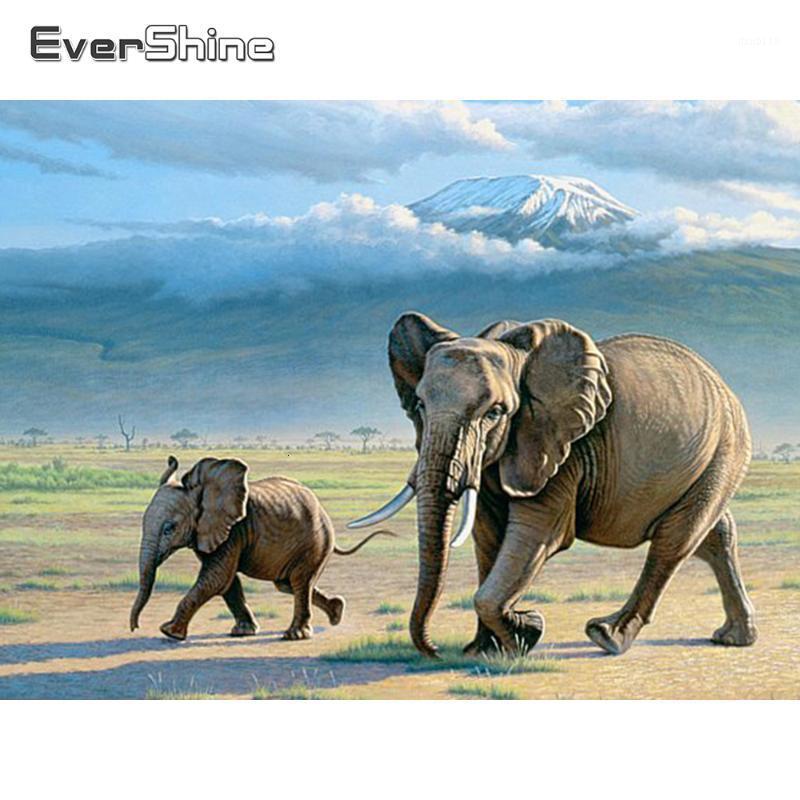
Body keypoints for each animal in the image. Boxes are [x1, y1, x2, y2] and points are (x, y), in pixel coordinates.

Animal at [130, 456, 390, 642]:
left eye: (169, 528)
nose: (135, 627)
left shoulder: (233, 529)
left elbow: (217, 577)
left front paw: (168, 632)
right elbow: (226, 581)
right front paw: (243, 632)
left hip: (315, 542)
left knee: (300, 582)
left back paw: (295, 636)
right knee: (287, 584)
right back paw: (336, 612)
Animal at [349, 312, 757, 658]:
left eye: (495, 412)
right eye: (419, 405)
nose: (433, 650)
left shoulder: (562, 447)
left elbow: (539, 533)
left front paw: (527, 631)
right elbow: (488, 536)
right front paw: (485, 650)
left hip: (724, 450)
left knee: (674, 541)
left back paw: (607, 636)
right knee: (713, 534)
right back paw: (733, 638)